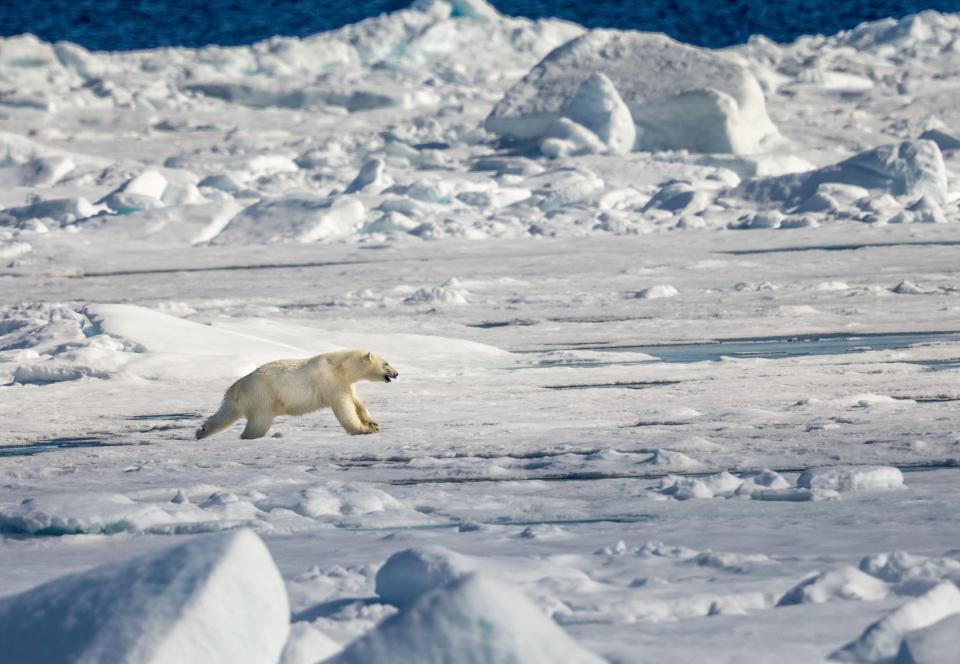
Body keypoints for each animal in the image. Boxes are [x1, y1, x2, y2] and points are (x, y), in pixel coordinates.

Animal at [196, 348, 398, 440]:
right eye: (386, 363)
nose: (396, 373)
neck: (339, 366)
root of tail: (237, 388)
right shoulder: (330, 382)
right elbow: (343, 407)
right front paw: (364, 430)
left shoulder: (344, 383)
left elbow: (356, 402)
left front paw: (372, 423)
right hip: (263, 397)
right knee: (258, 424)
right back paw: (249, 437)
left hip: (241, 400)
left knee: (226, 414)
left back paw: (202, 431)